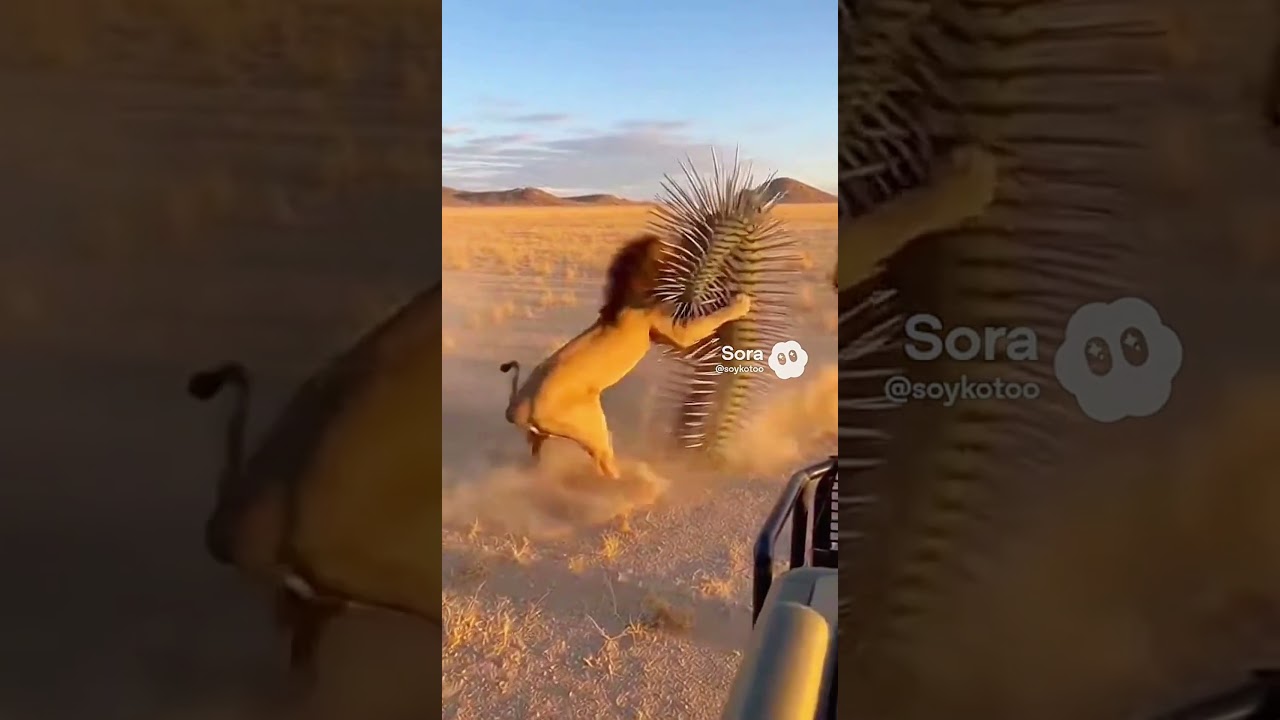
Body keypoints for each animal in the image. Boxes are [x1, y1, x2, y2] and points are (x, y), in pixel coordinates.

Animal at [500, 233, 752, 479]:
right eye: (665, 249)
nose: (681, 249)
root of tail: (516, 406)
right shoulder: (673, 331)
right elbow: (708, 321)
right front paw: (740, 303)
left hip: (545, 436)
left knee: (538, 452)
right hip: (591, 428)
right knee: (604, 463)